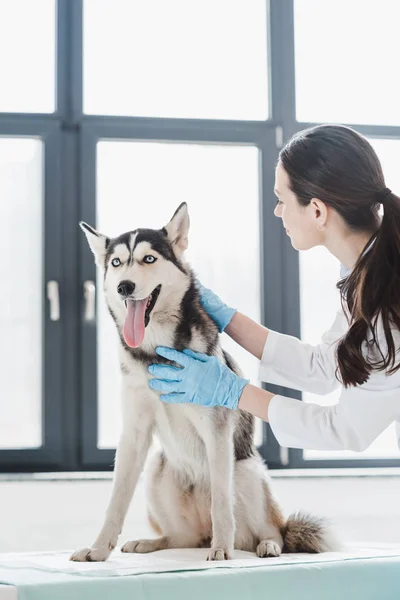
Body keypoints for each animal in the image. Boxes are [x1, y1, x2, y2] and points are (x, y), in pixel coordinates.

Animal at [72, 203, 334, 564]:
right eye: (116, 263)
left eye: (149, 258)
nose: (124, 286)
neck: (157, 350)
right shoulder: (135, 434)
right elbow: (116, 501)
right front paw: (98, 548)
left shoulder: (216, 429)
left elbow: (222, 502)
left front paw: (222, 548)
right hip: (157, 468)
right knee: (184, 537)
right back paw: (153, 542)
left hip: (246, 471)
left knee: (267, 528)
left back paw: (265, 545)